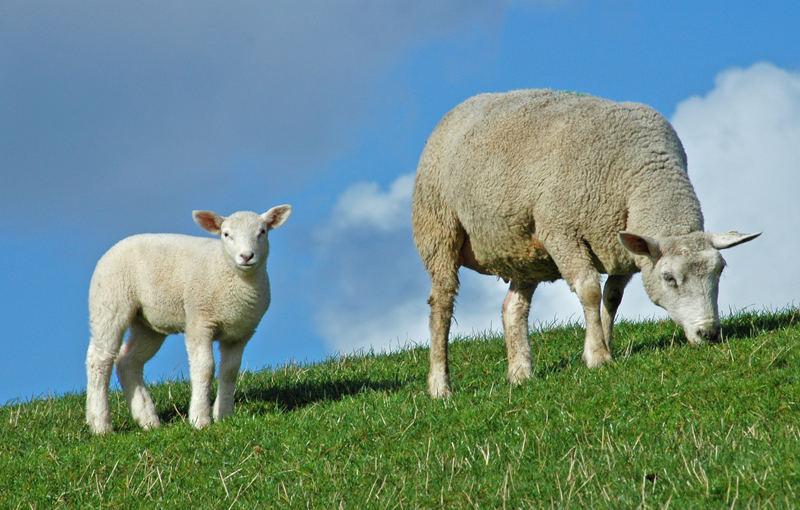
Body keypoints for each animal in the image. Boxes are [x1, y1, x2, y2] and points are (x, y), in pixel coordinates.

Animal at [86, 205, 292, 432]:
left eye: (262, 232)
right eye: (226, 234)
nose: (246, 256)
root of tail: (113, 249)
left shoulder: (240, 333)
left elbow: (229, 371)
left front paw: (224, 415)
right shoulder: (199, 320)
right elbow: (205, 368)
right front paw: (200, 419)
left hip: (148, 324)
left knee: (128, 361)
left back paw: (148, 419)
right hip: (109, 302)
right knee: (99, 359)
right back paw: (100, 425)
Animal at [412, 90, 764, 398]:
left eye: (719, 272)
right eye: (670, 279)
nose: (710, 333)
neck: (642, 172)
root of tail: (461, 108)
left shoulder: (625, 249)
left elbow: (612, 297)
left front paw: (605, 344)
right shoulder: (561, 231)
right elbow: (590, 291)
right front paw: (597, 356)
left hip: (524, 249)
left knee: (513, 307)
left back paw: (521, 373)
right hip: (438, 227)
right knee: (442, 304)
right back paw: (440, 386)